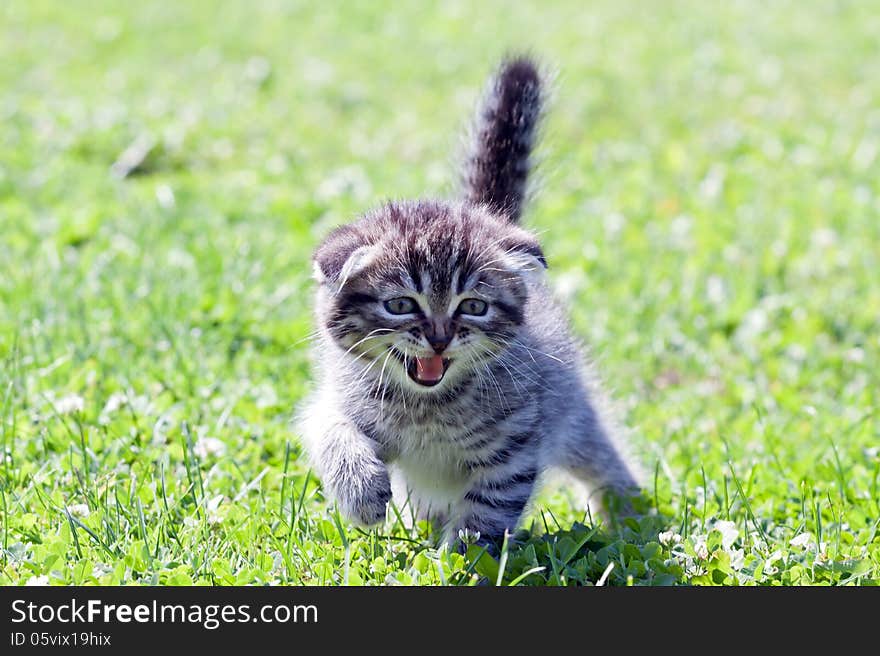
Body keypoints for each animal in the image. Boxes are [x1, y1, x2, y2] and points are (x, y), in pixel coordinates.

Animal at [300, 56, 640, 552]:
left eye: (473, 307)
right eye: (401, 304)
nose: (440, 338)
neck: (428, 406)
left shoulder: (514, 447)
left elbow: (486, 514)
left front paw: (457, 558)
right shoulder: (339, 398)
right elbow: (329, 428)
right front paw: (361, 491)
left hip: (571, 405)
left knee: (600, 451)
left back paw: (631, 512)